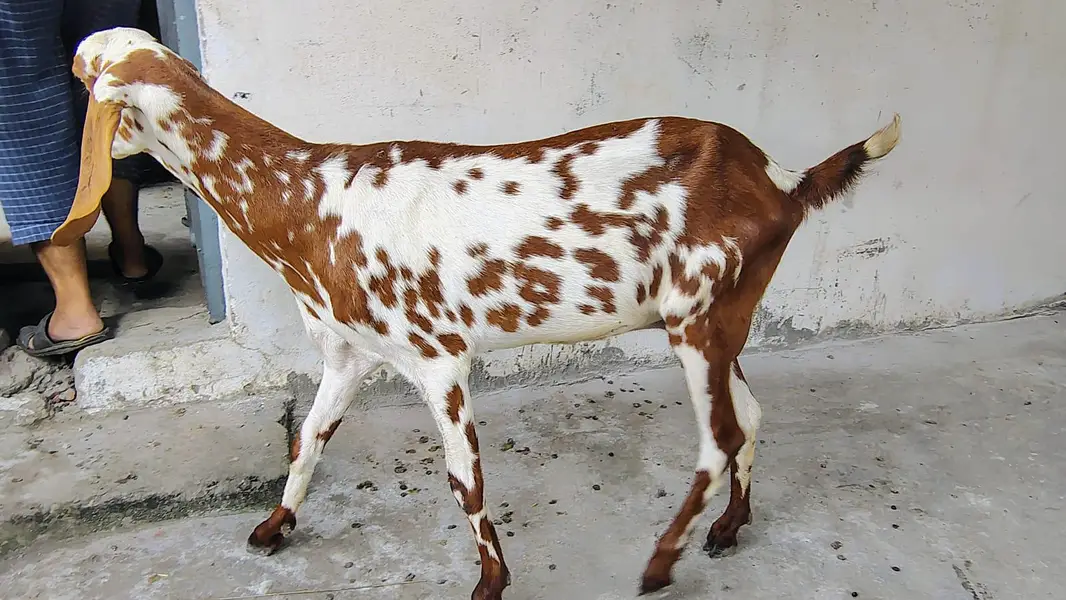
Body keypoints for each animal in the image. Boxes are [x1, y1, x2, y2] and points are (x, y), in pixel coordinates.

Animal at [56, 27, 901, 600]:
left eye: (81, 72)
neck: (310, 202)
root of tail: (781, 179)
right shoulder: (347, 354)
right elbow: (308, 440)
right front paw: (273, 527)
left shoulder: (436, 355)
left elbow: (465, 479)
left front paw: (491, 581)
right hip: (719, 318)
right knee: (749, 418)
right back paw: (728, 529)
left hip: (698, 316)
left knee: (720, 436)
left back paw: (662, 563)